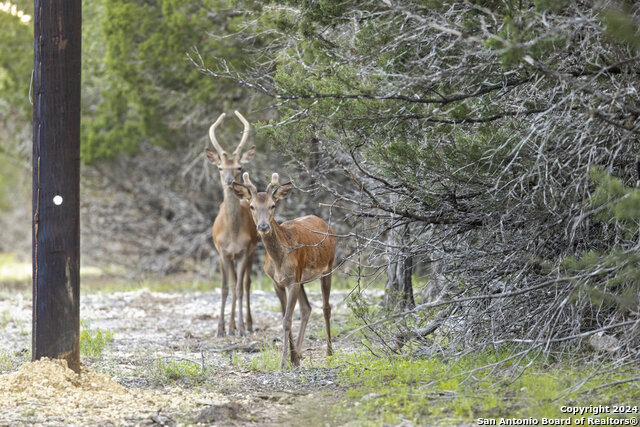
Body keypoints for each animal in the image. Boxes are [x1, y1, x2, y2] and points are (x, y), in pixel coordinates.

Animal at [231, 172, 340, 370]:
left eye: (272, 205)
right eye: (252, 206)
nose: (263, 226)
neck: (279, 260)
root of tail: (325, 224)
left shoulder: (293, 280)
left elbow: (287, 320)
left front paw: (283, 362)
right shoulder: (278, 282)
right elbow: (284, 317)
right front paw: (292, 359)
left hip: (328, 266)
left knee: (326, 307)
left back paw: (329, 352)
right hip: (303, 278)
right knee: (306, 308)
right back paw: (299, 354)